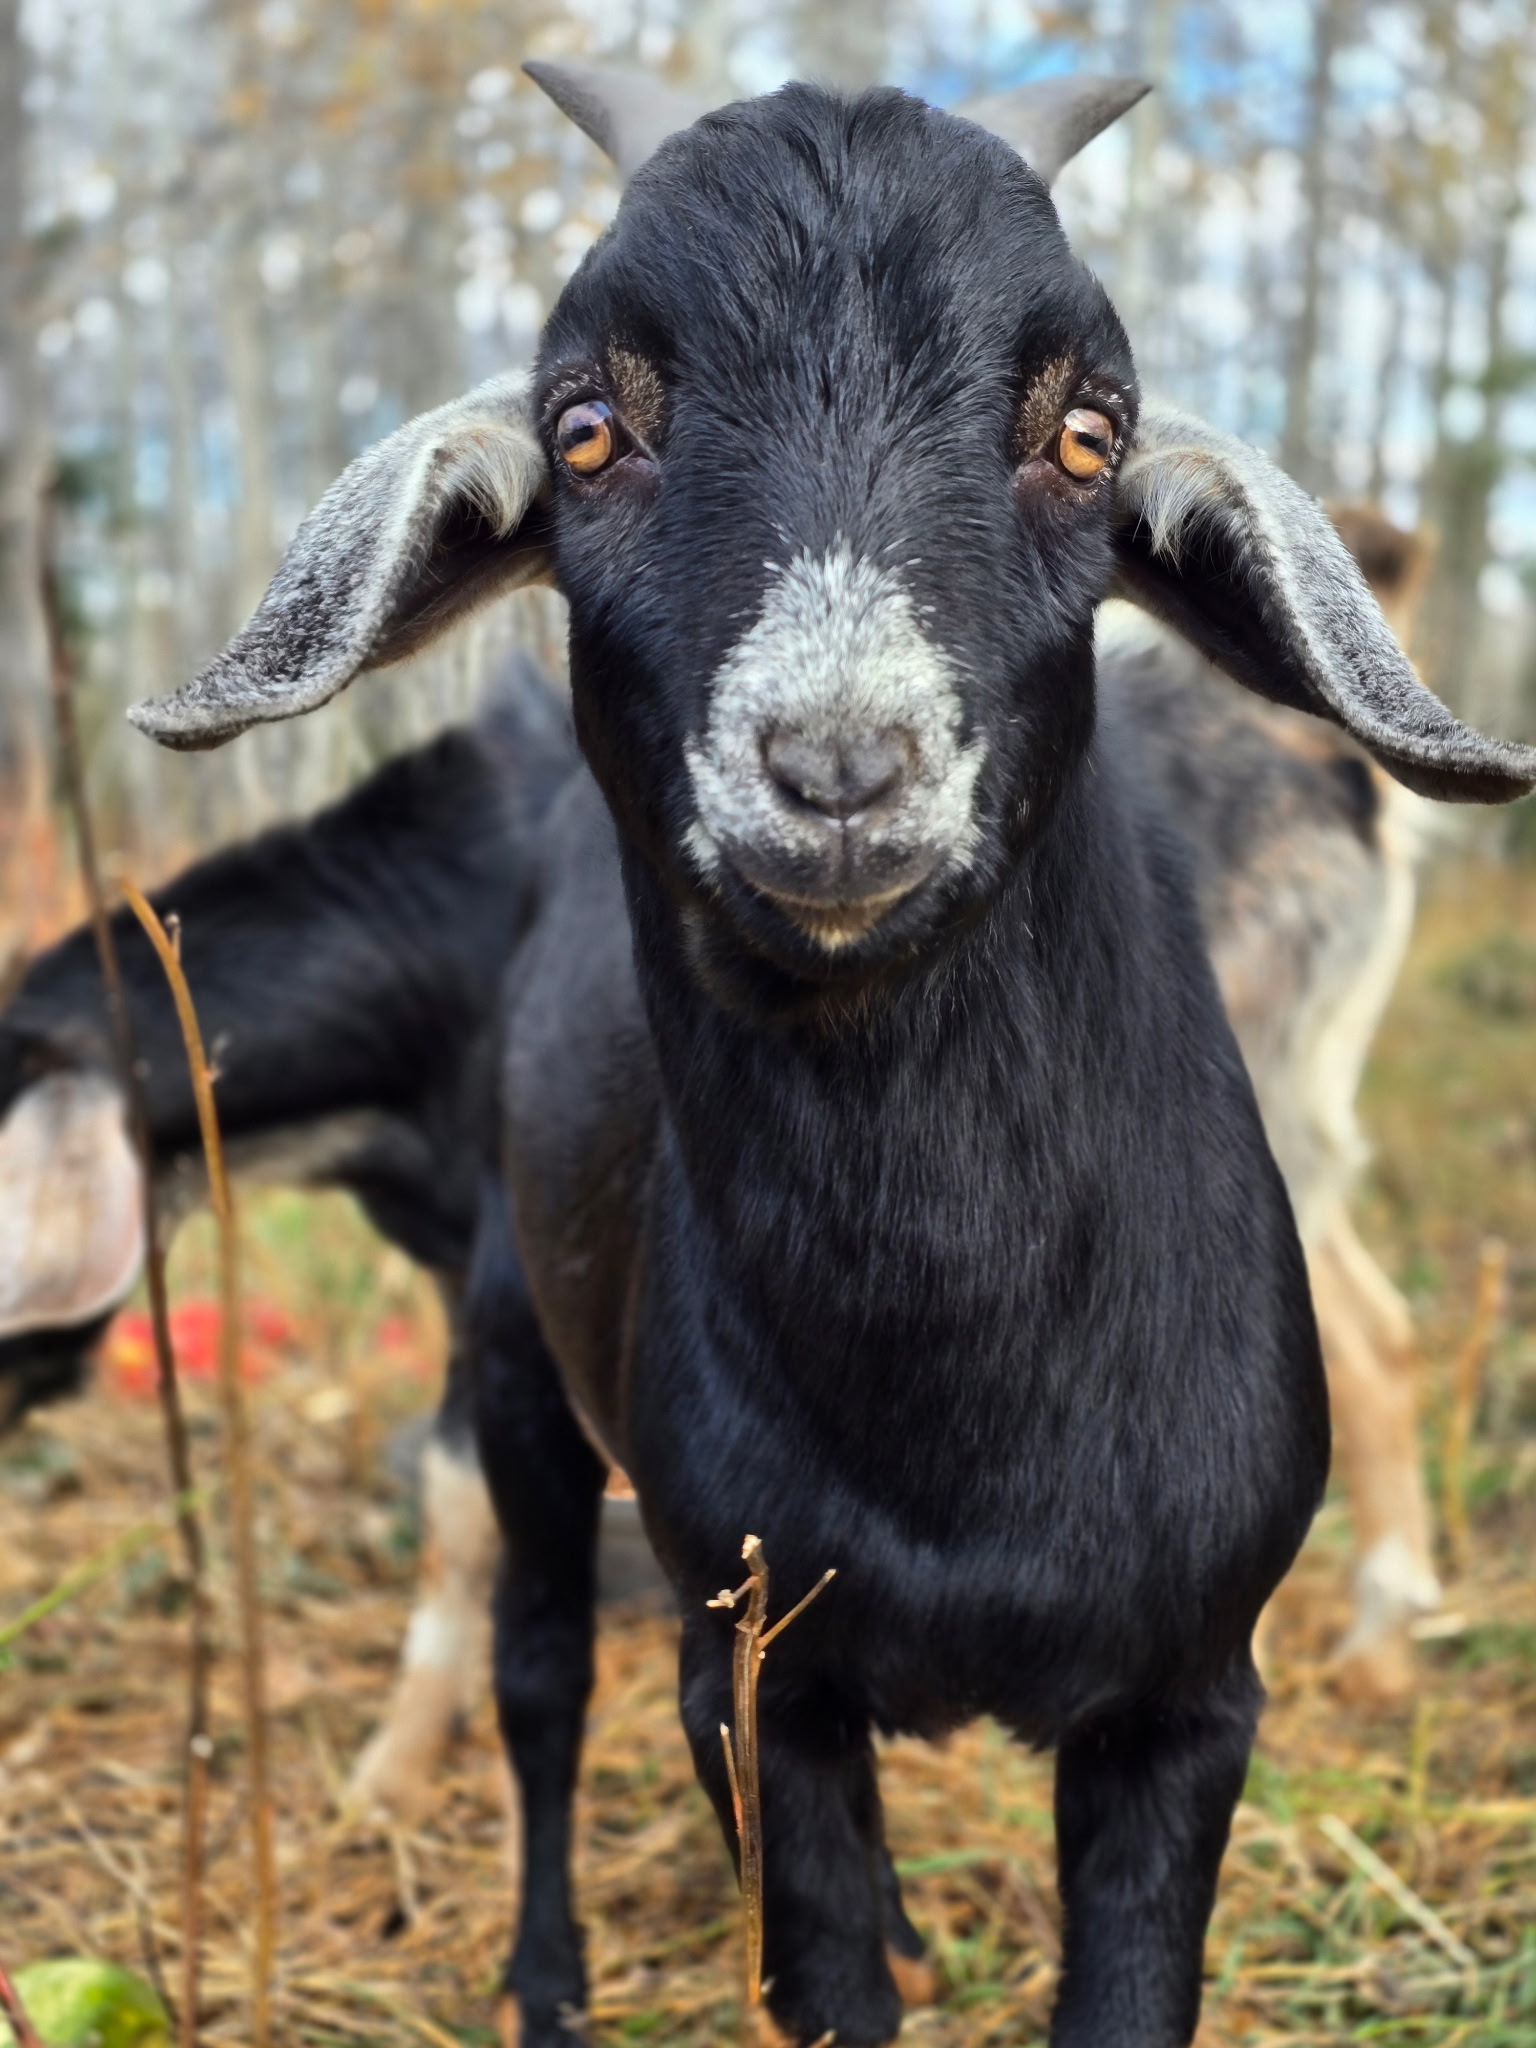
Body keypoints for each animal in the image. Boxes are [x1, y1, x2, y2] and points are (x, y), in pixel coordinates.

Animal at [125, 72, 1536, 2045]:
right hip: (519, 1359)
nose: (839, 767)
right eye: (584, 431)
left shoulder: (1190, 1697)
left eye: (1087, 435)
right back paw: (542, 1969)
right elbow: (815, 1953)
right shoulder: (760, 1675)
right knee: (535, 1671)